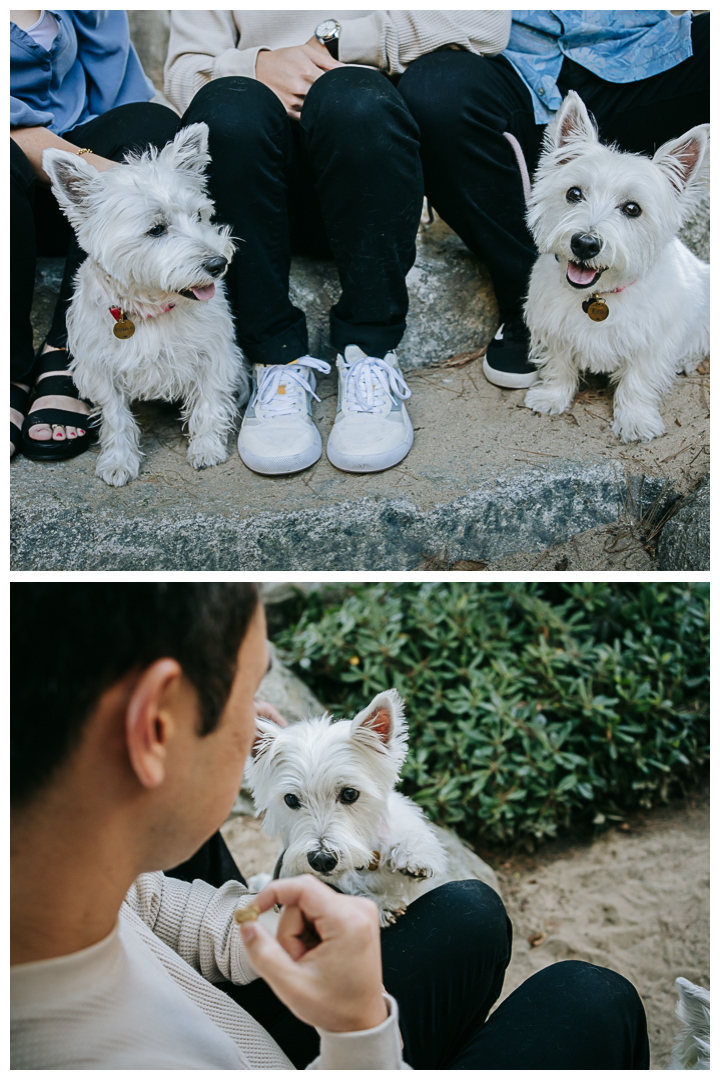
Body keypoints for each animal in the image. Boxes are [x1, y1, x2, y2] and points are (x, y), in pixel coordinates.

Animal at [44, 121, 250, 486]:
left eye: (199, 215)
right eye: (156, 230)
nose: (218, 264)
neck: (153, 308)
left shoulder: (213, 354)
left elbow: (209, 402)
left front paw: (206, 448)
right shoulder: (100, 368)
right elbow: (115, 418)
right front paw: (118, 461)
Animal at [245, 686, 446, 924]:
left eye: (350, 794)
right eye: (291, 799)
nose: (321, 860)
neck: (368, 860)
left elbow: (407, 825)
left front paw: (414, 856)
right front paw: (381, 904)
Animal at [520, 90, 712, 444]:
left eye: (632, 209)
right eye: (574, 193)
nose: (585, 243)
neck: (599, 294)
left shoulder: (653, 340)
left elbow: (638, 381)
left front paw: (635, 421)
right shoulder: (553, 324)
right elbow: (558, 364)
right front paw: (551, 397)